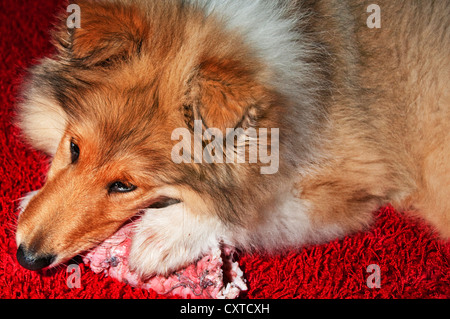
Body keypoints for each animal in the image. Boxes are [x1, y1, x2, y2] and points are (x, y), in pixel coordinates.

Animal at [14, 0, 450, 278]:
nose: (27, 258)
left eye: (125, 185)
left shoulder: (352, 176)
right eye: (74, 148)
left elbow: (251, 210)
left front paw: (159, 237)